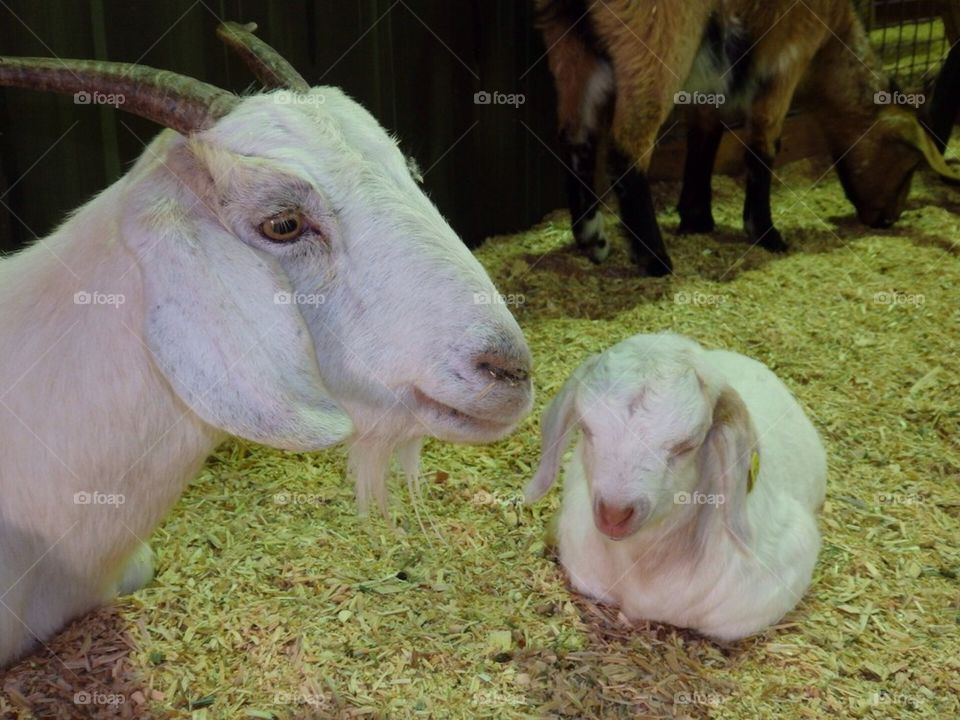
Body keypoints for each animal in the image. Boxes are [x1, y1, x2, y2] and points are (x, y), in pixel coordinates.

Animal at [536, 0, 960, 275]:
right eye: (909, 161)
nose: (888, 219)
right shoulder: (787, 57)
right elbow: (764, 143)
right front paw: (766, 234)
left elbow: (706, 133)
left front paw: (697, 217)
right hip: (657, 40)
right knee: (627, 147)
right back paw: (655, 261)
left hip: (569, 43)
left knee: (576, 136)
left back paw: (592, 238)